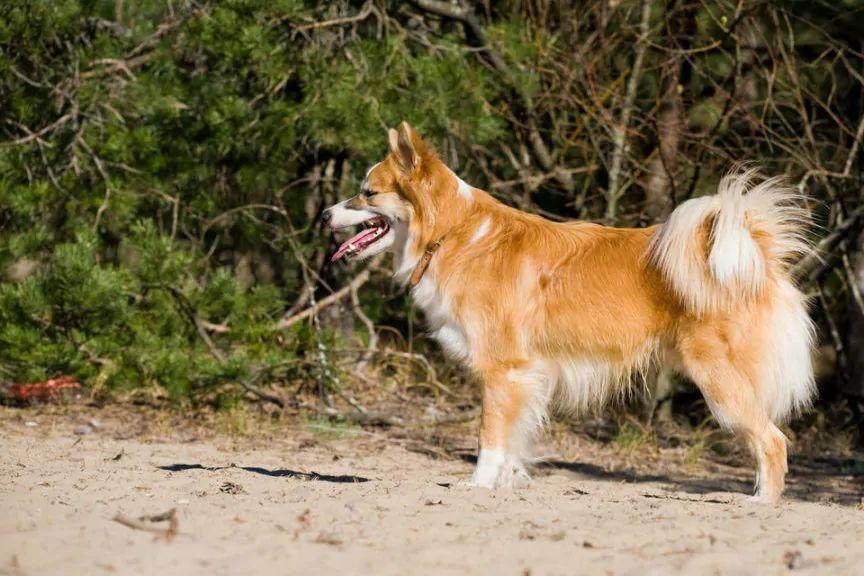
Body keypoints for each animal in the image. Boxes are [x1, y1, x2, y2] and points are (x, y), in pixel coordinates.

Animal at [324, 124, 816, 502]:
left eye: (367, 194)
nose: (325, 214)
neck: (453, 233)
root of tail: (756, 253)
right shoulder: (526, 377)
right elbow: (514, 439)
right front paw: (509, 482)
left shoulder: (502, 371)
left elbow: (489, 438)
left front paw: (479, 485)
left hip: (720, 379)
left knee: (773, 441)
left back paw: (761, 503)